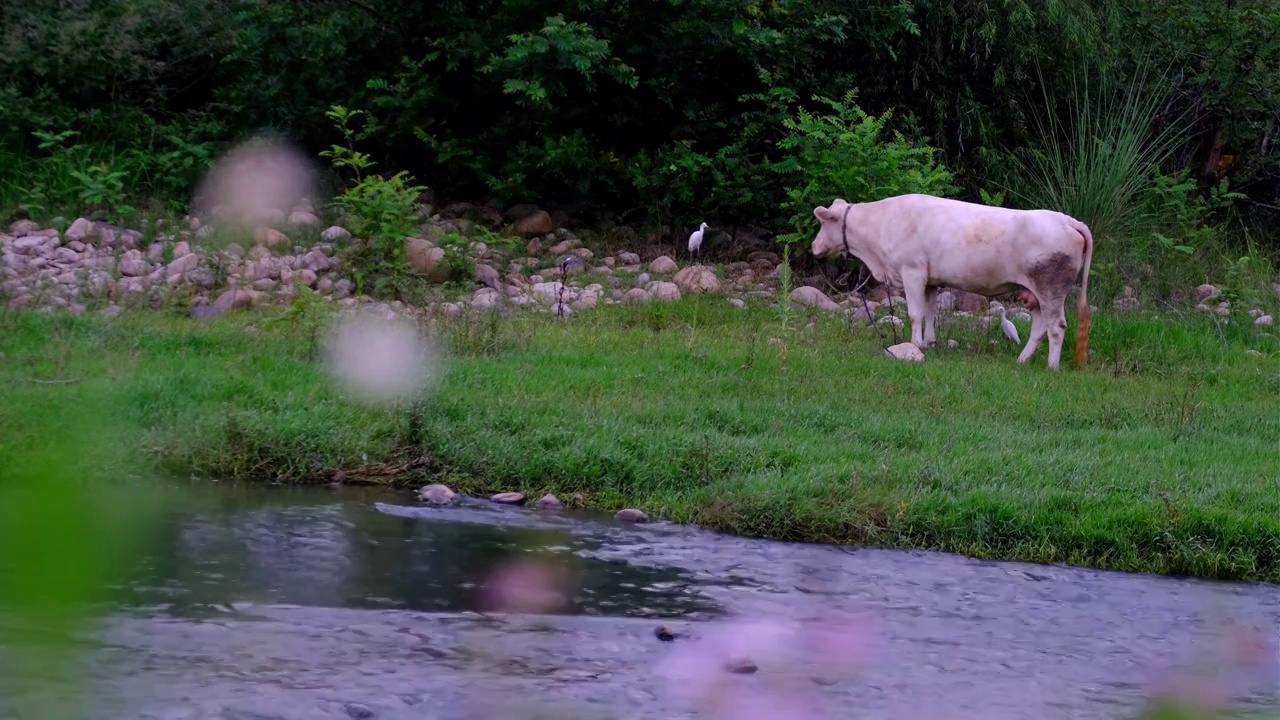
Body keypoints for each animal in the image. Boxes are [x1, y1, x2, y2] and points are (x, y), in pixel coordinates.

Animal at [814, 192, 1095, 366]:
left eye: (823, 223)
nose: (814, 246)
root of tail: (1068, 220)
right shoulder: (930, 280)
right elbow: (930, 312)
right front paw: (929, 342)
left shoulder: (912, 271)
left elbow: (915, 313)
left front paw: (915, 344)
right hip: (1034, 293)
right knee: (1039, 327)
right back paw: (1022, 360)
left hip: (1050, 289)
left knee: (1056, 326)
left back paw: (1052, 365)